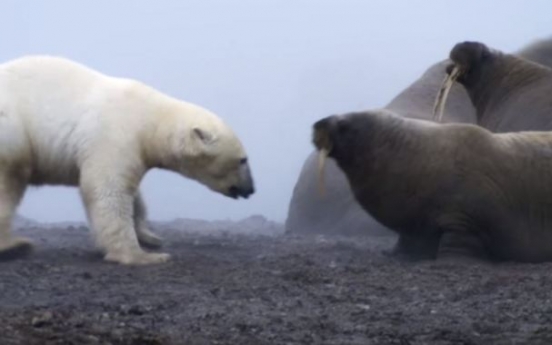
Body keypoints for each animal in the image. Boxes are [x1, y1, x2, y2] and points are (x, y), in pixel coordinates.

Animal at [0, 54, 256, 264]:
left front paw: (150, 237)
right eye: (243, 160)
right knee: (9, 182)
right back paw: (15, 247)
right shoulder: (115, 135)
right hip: (13, 132)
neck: (150, 119)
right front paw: (143, 256)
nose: (251, 189)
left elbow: (133, 196)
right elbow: (108, 191)